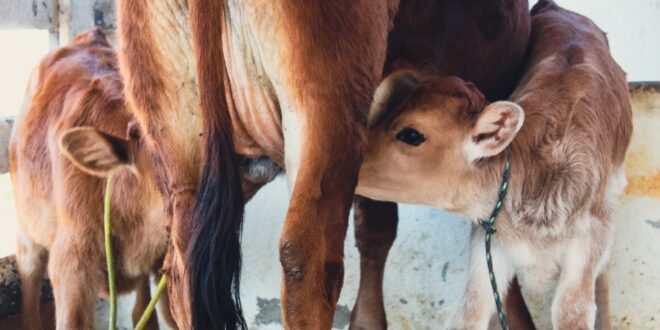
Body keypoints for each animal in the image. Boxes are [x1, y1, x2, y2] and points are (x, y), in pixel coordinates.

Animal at [360, 1, 636, 328]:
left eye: (411, 134)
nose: (357, 157)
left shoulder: (586, 245)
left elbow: (572, 310)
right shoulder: (487, 245)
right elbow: (471, 312)